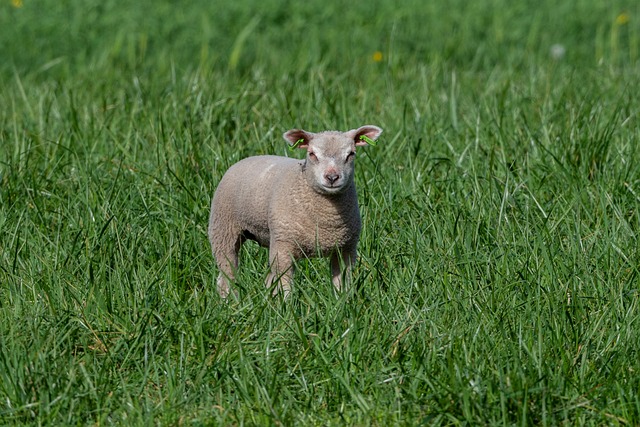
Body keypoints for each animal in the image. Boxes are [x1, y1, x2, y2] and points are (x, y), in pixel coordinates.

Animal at [208, 125, 382, 300]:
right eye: (312, 154)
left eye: (351, 154)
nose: (332, 177)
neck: (326, 220)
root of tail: (247, 158)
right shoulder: (284, 246)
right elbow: (285, 284)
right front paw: (288, 304)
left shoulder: (346, 249)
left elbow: (342, 282)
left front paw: (342, 302)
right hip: (223, 229)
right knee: (227, 270)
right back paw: (229, 299)